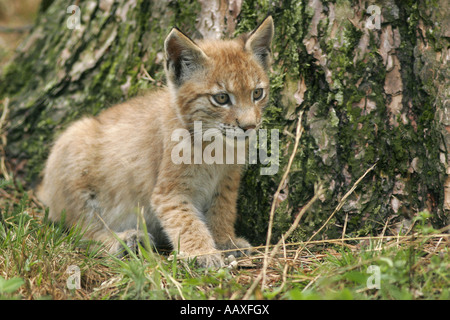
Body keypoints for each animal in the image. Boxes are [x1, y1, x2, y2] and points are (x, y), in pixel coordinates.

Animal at [37, 16, 274, 266]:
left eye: (257, 93)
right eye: (221, 98)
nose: (249, 127)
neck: (214, 143)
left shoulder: (226, 181)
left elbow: (223, 211)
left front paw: (225, 241)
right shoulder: (169, 192)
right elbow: (186, 221)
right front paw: (203, 253)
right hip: (75, 142)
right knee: (78, 230)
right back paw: (124, 240)